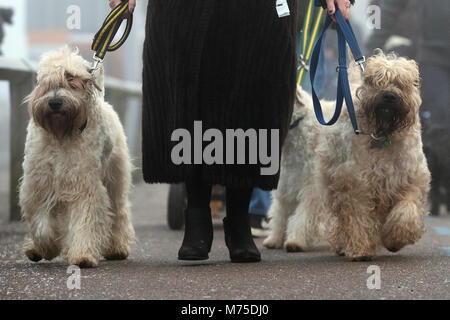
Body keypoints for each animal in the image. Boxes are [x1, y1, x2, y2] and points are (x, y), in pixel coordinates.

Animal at [19, 47, 135, 268]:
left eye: (71, 82)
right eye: (46, 83)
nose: (55, 102)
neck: (61, 135)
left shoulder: (83, 183)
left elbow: (84, 219)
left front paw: (82, 255)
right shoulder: (38, 184)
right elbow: (41, 224)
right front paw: (46, 247)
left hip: (115, 179)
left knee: (119, 212)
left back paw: (117, 248)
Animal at [266, 51, 430, 262]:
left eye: (401, 82)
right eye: (374, 80)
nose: (389, 95)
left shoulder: (410, 179)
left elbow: (406, 212)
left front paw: (395, 239)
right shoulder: (352, 184)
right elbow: (355, 218)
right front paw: (361, 250)